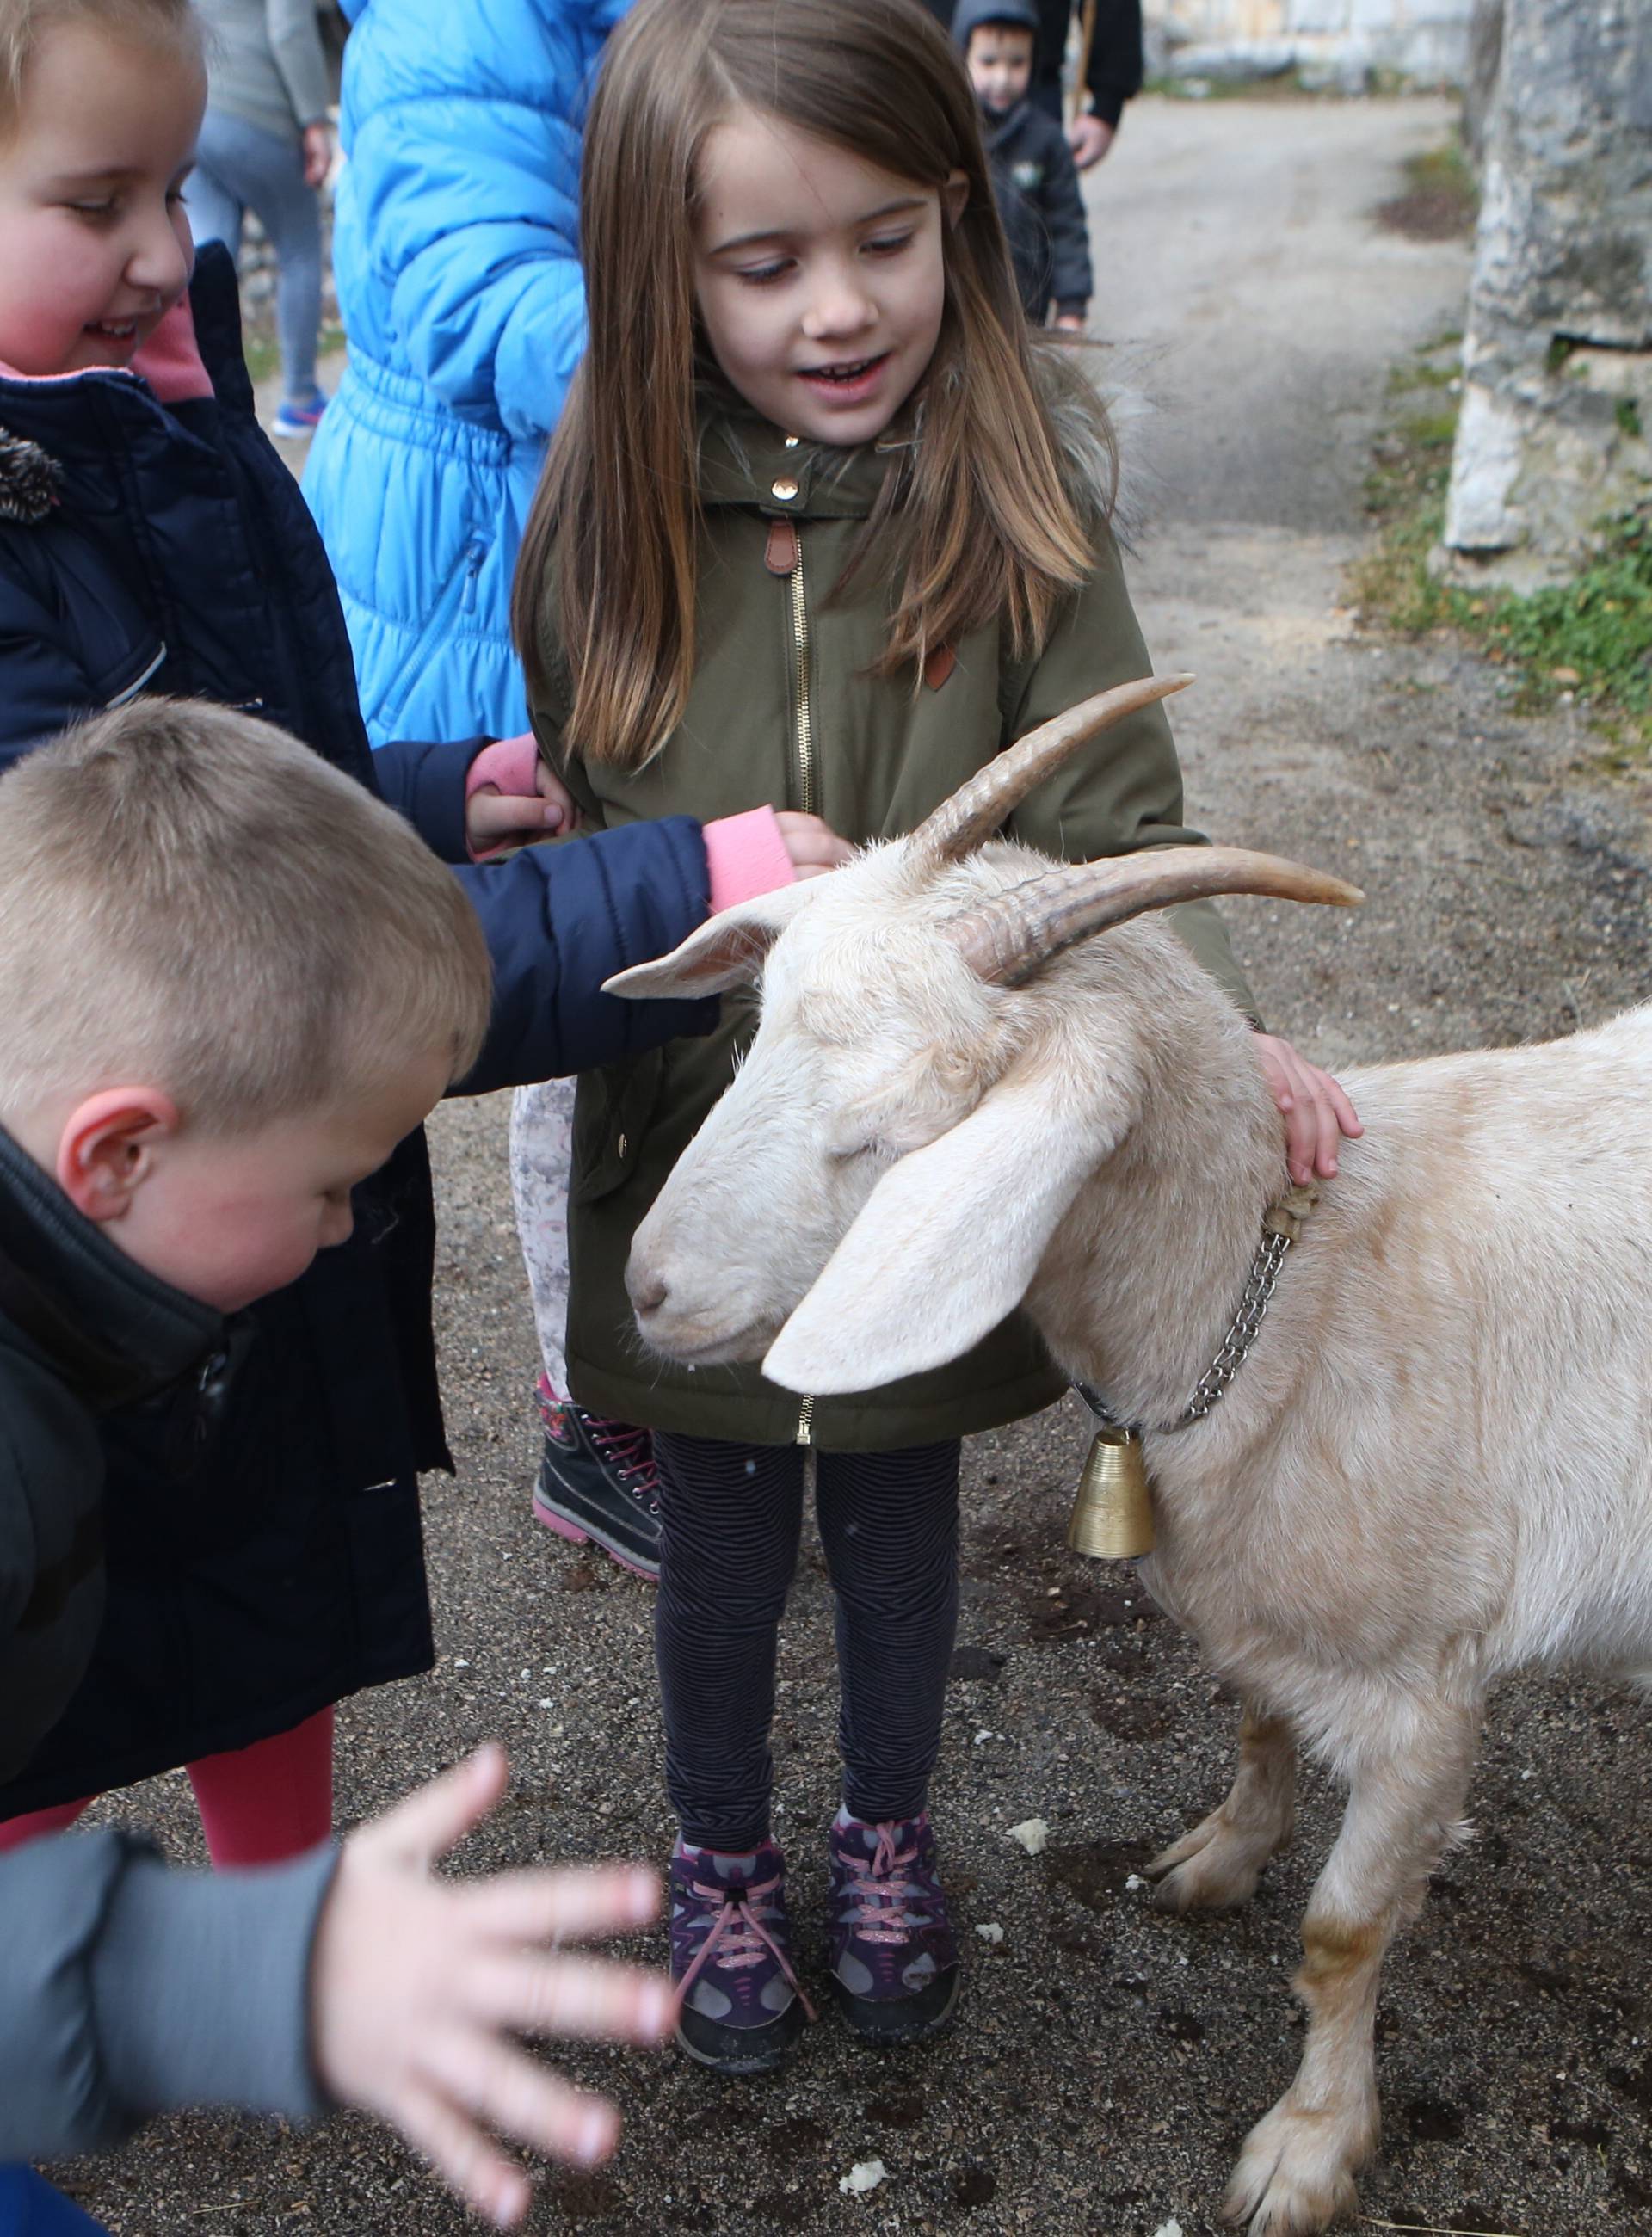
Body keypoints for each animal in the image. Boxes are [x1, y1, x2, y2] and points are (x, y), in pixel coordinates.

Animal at [600, 671, 1647, 2228]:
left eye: (893, 1136)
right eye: (756, 1029)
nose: (649, 1288)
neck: (1286, 1291)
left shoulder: (1427, 1694)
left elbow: (1344, 1934)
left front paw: (1308, 2147)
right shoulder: (1266, 1621)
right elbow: (1258, 1718)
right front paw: (1222, 1857)